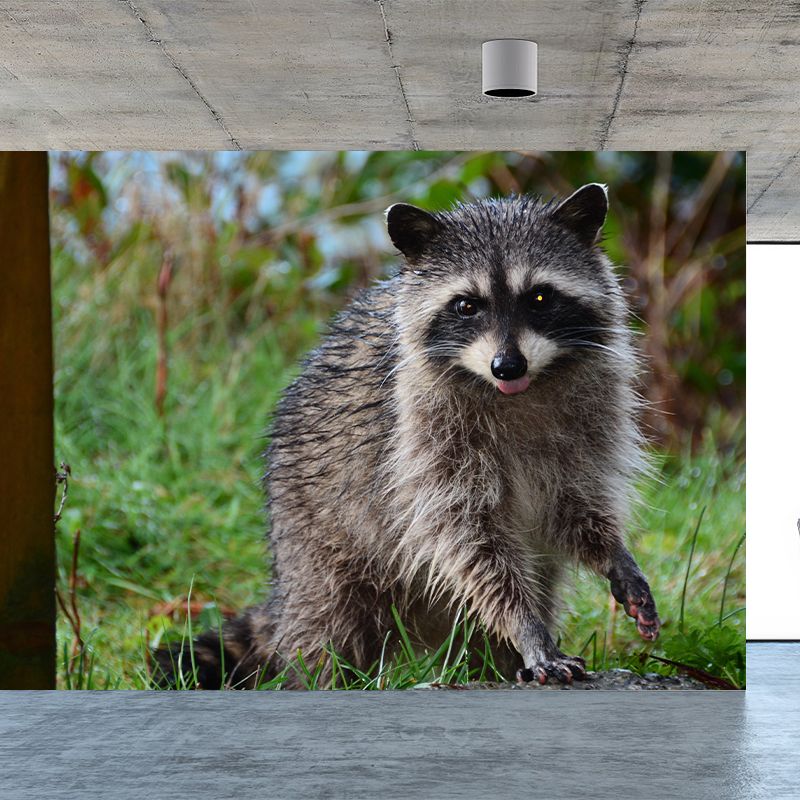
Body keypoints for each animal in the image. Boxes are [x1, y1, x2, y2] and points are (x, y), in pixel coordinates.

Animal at [154, 183, 660, 689]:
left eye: (539, 297)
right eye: (466, 305)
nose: (507, 366)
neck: (519, 391)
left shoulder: (591, 417)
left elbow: (576, 503)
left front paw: (613, 553)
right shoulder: (421, 437)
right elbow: (468, 539)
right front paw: (526, 626)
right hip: (317, 543)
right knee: (326, 628)